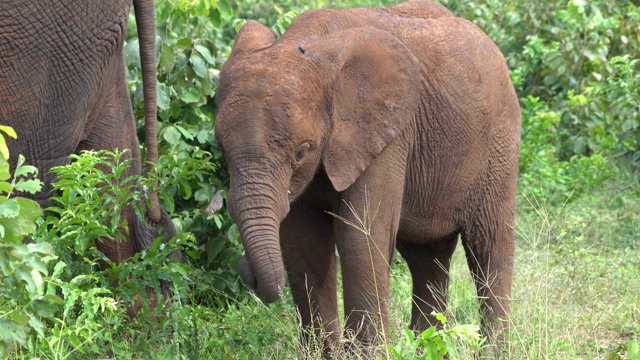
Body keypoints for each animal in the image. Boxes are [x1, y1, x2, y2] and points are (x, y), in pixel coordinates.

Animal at [215, 0, 520, 354]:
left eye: (302, 151)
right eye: (221, 146)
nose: (244, 268)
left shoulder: (388, 135)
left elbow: (360, 237)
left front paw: (367, 354)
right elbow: (303, 245)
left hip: (499, 145)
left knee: (489, 247)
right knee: (427, 258)